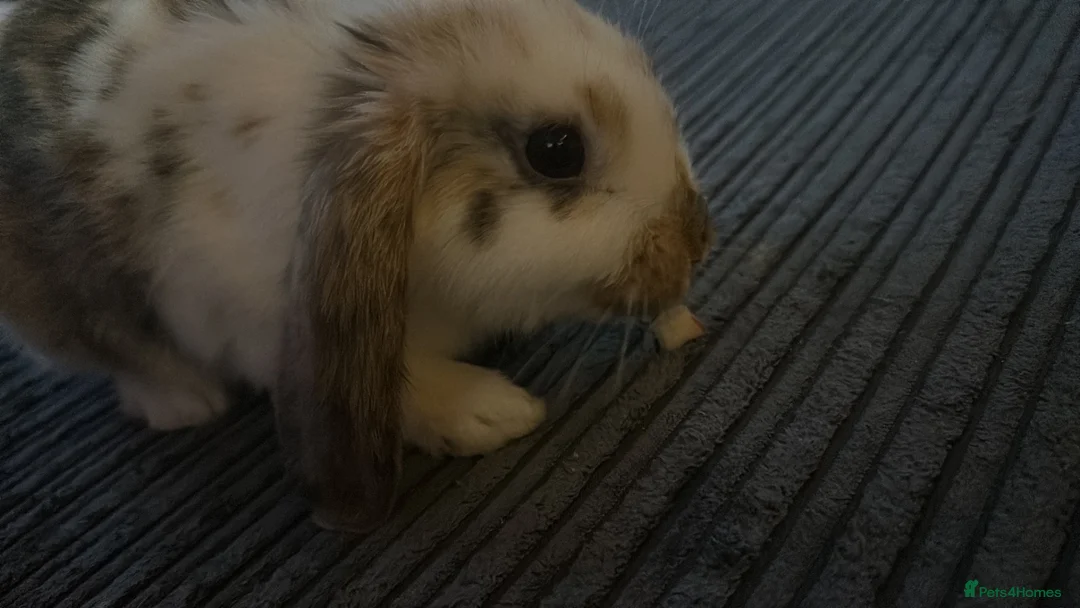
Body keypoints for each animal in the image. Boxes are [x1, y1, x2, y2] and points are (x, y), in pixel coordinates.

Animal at [0, 0, 713, 532]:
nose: (697, 238)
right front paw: (492, 415)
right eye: (556, 150)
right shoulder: (258, 324)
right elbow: (401, 381)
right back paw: (184, 402)